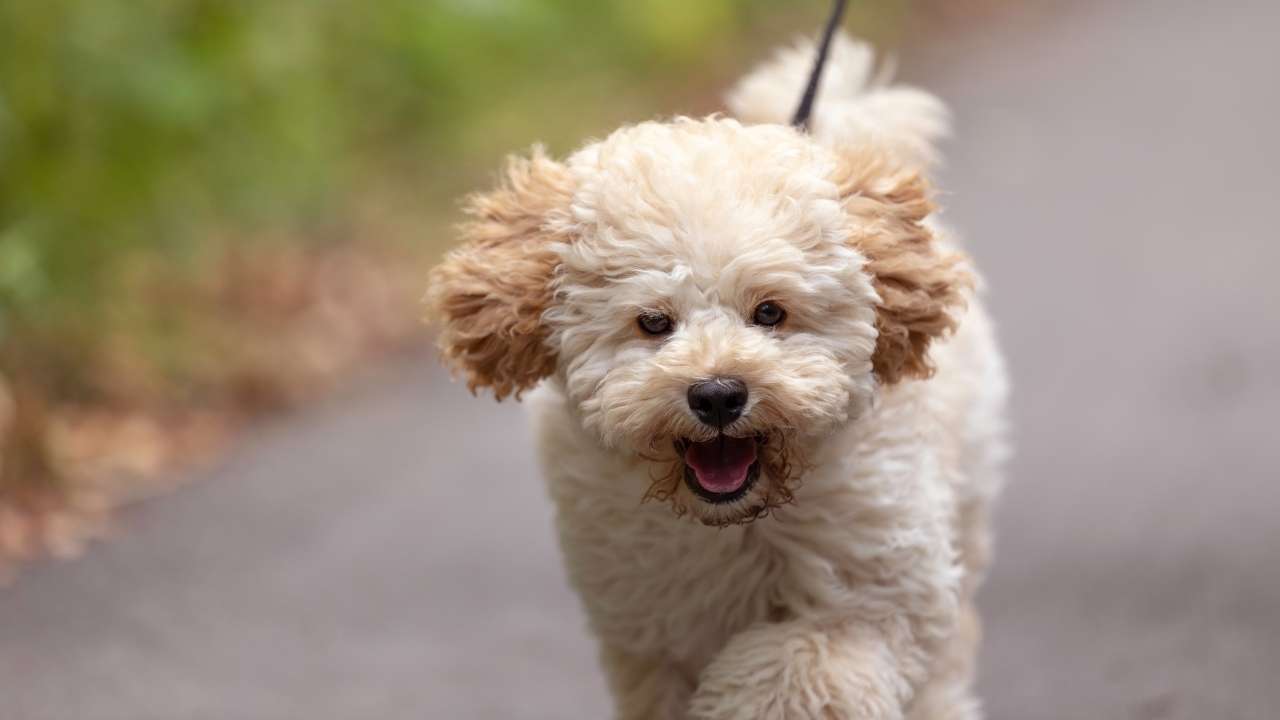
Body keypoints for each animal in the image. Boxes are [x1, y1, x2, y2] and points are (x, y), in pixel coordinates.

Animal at [430, 33, 1008, 717]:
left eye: (770, 312)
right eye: (653, 322)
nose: (717, 395)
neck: (736, 523)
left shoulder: (875, 593)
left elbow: (796, 667)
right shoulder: (650, 632)